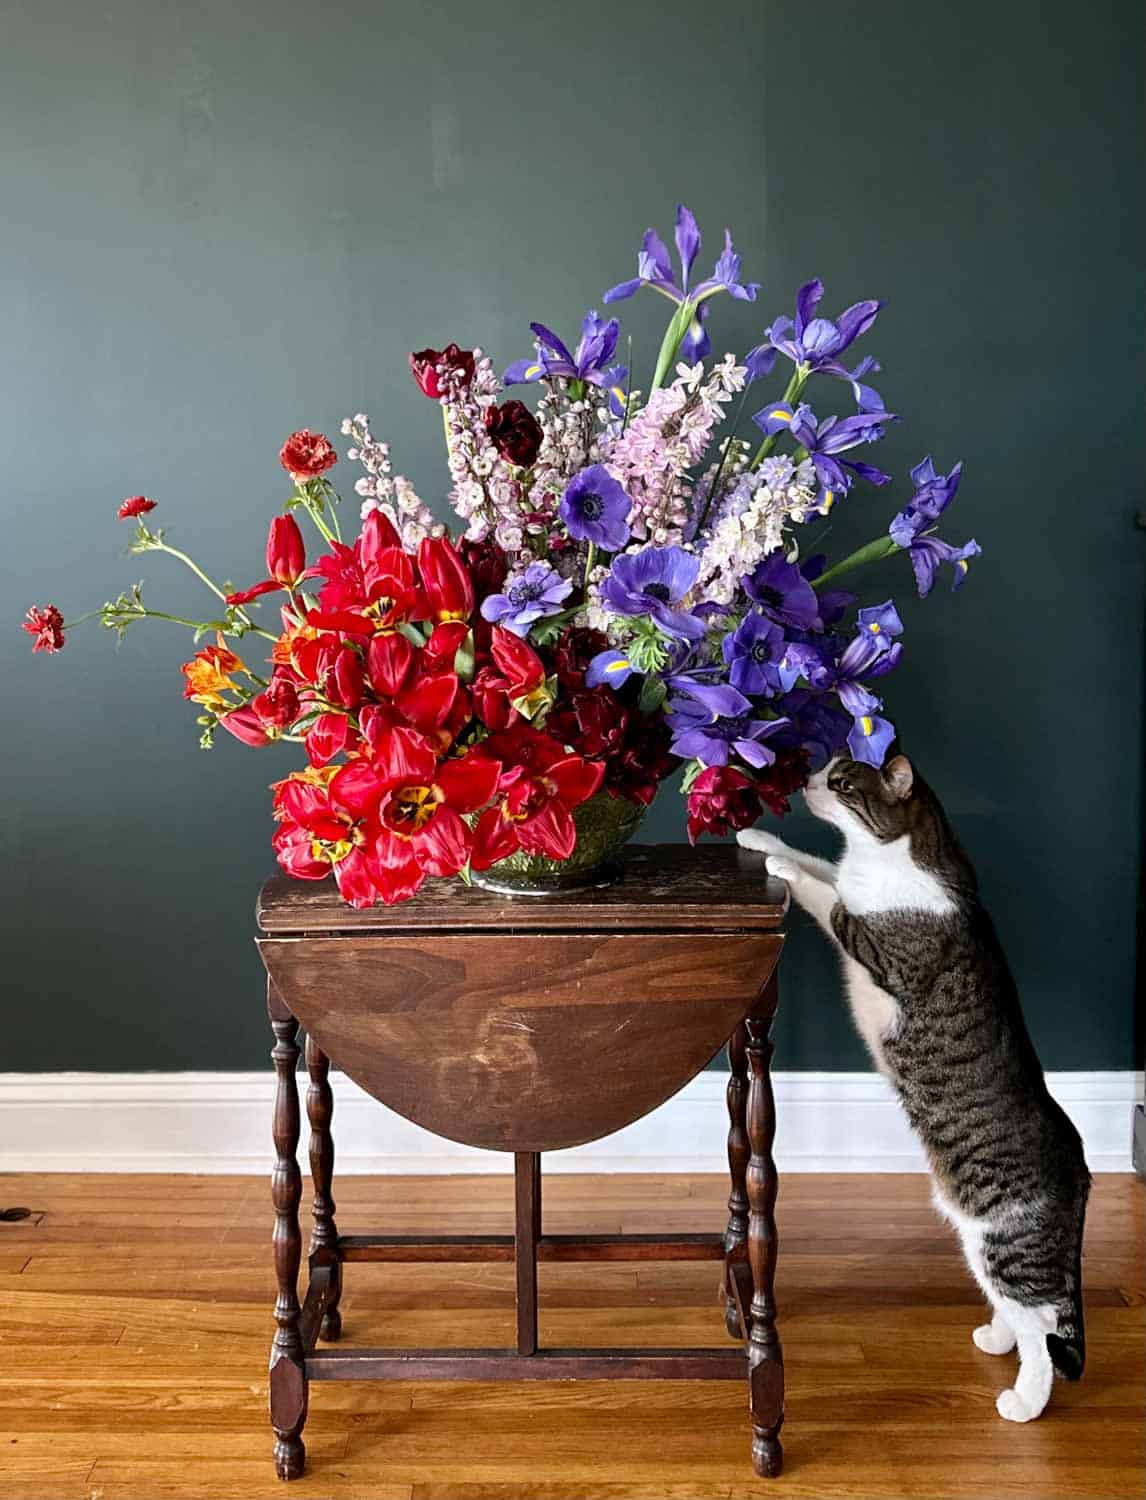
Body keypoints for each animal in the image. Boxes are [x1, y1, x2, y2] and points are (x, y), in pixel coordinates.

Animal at [738, 756, 1086, 1422]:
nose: (806, 782)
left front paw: (781, 868)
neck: (878, 857)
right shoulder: (848, 881)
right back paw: (995, 1335)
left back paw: (1025, 1400)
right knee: (1027, 1313)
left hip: (1002, 1237)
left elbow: (825, 894)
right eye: (827, 768)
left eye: (843, 783)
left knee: (1044, 1326)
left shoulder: (873, 940)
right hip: (977, 1238)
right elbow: (819, 865)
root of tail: (1081, 1171)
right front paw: (761, 840)